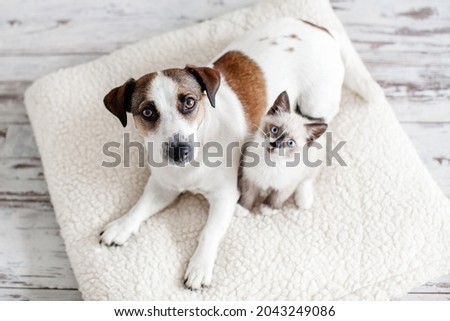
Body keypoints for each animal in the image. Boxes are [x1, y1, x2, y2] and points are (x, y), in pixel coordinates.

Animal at [101, 17, 358, 288]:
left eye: (189, 102)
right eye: (148, 112)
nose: (179, 150)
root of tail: (318, 27)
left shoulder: (225, 197)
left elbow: (209, 232)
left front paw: (200, 265)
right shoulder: (163, 188)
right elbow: (139, 207)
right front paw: (122, 225)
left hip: (315, 106)